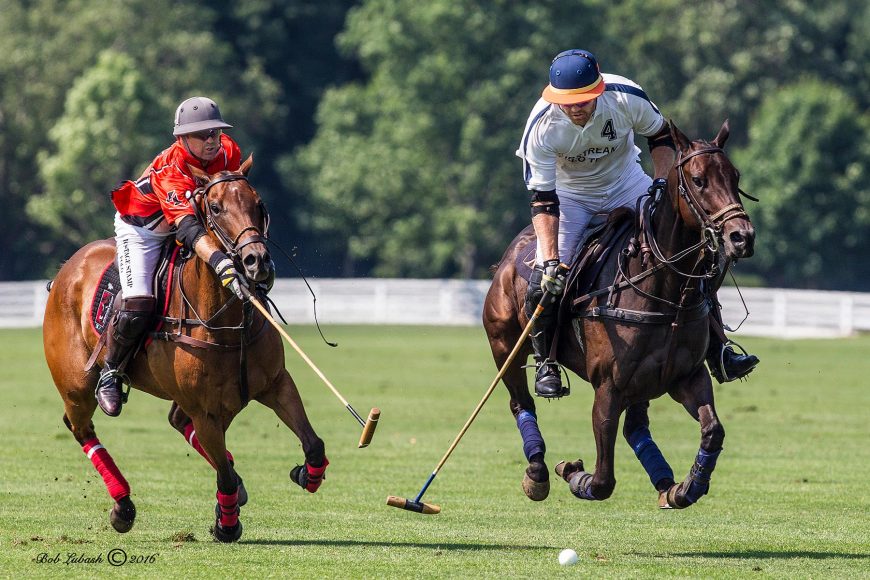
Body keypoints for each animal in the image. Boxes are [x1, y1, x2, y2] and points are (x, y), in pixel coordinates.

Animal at [41, 156, 328, 540]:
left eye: (259, 204)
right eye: (216, 208)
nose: (257, 262)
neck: (227, 324)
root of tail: (65, 270)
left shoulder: (275, 383)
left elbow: (313, 444)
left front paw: (306, 474)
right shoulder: (204, 411)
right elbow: (222, 472)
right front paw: (226, 525)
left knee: (177, 422)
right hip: (75, 384)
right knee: (81, 427)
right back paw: (122, 505)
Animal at [484, 121, 756, 508]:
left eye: (735, 176)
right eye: (699, 180)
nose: (741, 237)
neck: (664, 293)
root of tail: (510, 254)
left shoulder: (688, 376)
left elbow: (713, 430)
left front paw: (687, 487)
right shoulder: (609, 387)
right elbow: (602, 480)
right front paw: (572, 471)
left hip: (645, 381)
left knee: (636, 427)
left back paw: (664, 481)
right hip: (504, 346)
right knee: (520, 402)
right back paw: (537, 470)